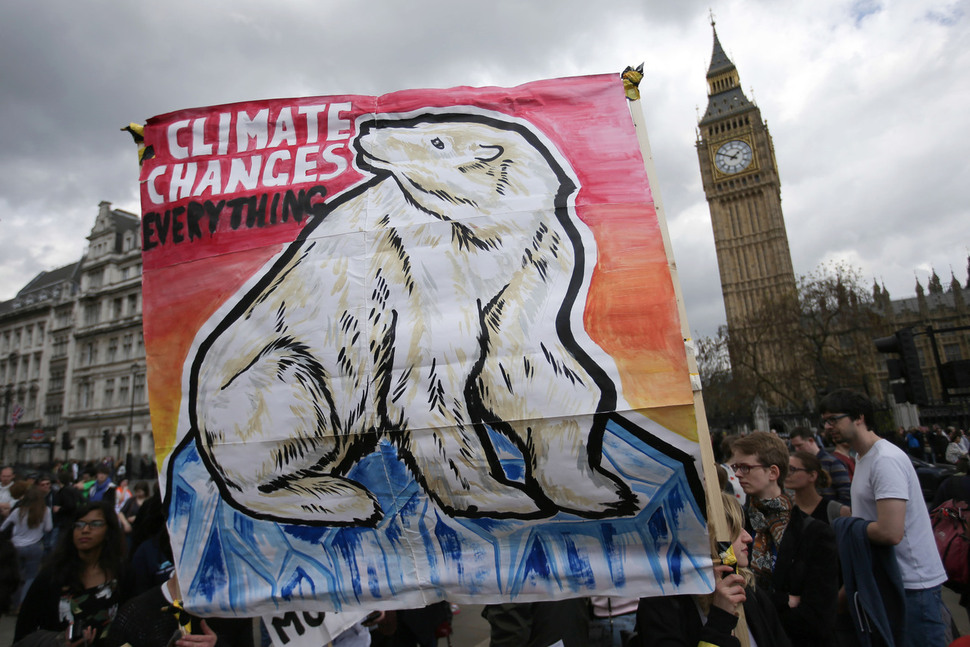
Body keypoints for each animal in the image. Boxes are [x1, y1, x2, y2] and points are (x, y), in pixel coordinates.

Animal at [191, 111, 644, 528]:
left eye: (436, 140)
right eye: (424, 129)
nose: (366, 130)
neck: (489, 237)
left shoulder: (534, 254)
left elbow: (534, 367)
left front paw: (597, 491)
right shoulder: (426, 262)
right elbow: (431, 381)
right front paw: (502, 496)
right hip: (252, 398)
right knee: (291, 385)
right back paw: (340, 498)